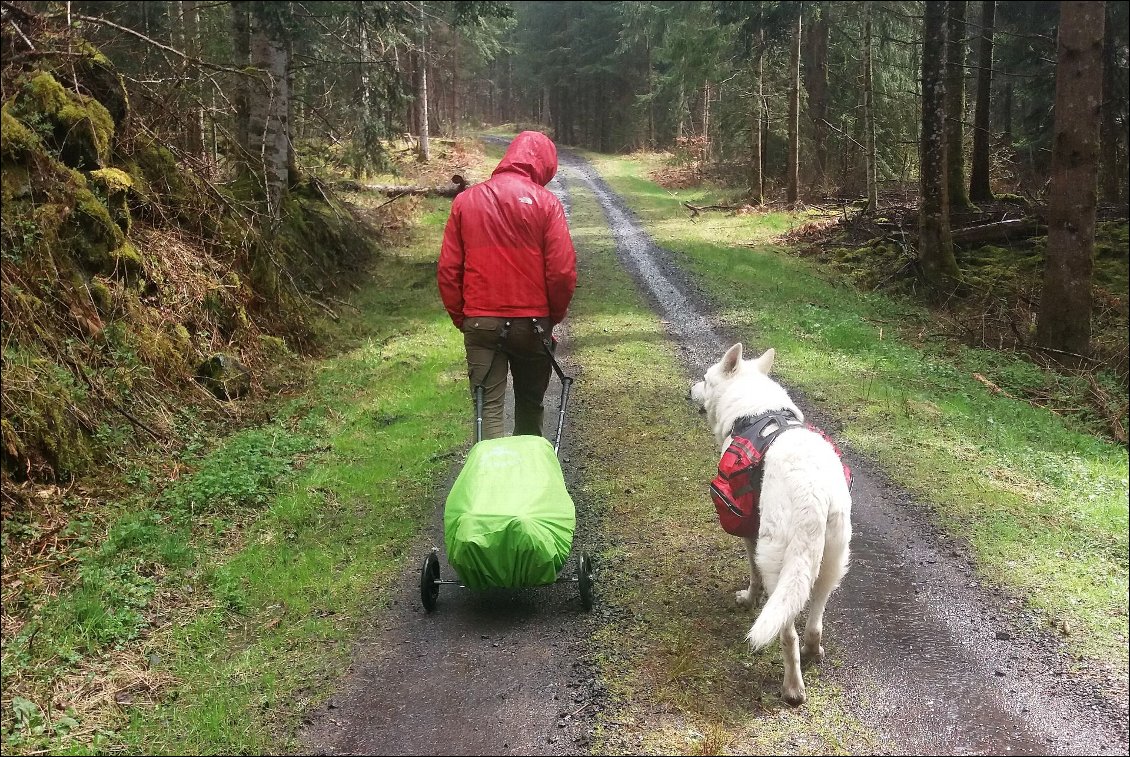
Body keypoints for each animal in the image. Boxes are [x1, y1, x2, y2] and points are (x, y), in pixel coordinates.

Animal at [687, 343, 854, 705]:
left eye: (705, 379)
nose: (689, 389)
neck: (753, 407)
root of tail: (813, 494)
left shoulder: (750, 532)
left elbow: (753, 575)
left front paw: (750, 598)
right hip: (831, 561)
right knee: (814, 622)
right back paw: (813, 652)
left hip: (779, 560)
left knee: (787, 633)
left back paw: (793, 688)